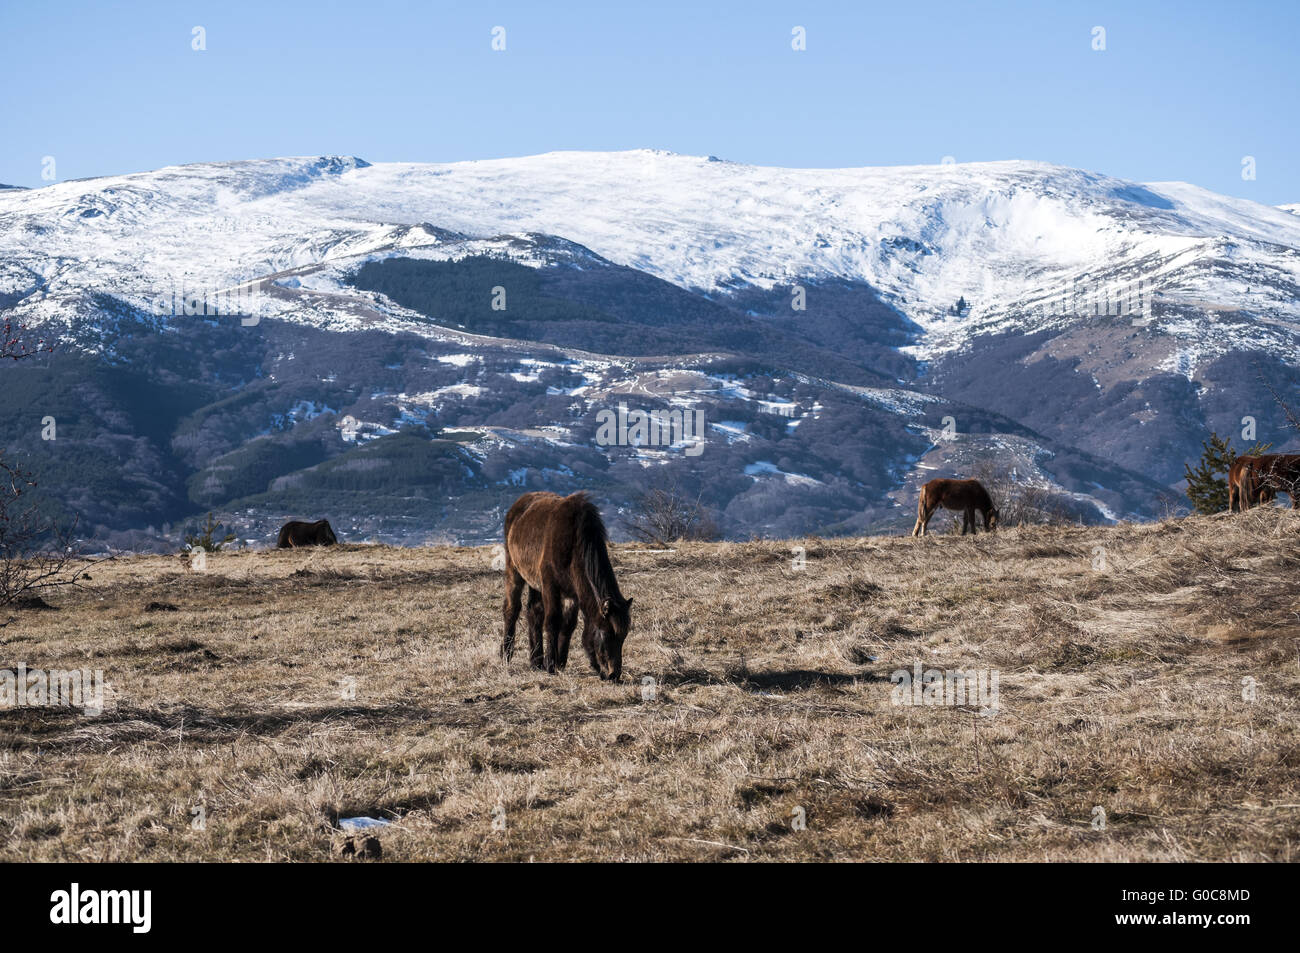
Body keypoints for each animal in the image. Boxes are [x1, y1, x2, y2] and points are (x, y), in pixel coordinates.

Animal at [499, 491, 631, 676]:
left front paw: (560, 662)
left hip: (534, 583)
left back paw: (536, 662)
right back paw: (506, 655)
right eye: (606, 634)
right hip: (514, 571)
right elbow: (553, 621)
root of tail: (519, 504)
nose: (614, 674)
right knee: (512, 609)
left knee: (534, 612)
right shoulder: (550, 586)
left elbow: (568, 624)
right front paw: (551, 664)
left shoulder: (573, 594)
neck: (574, 543)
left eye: (623, 637)